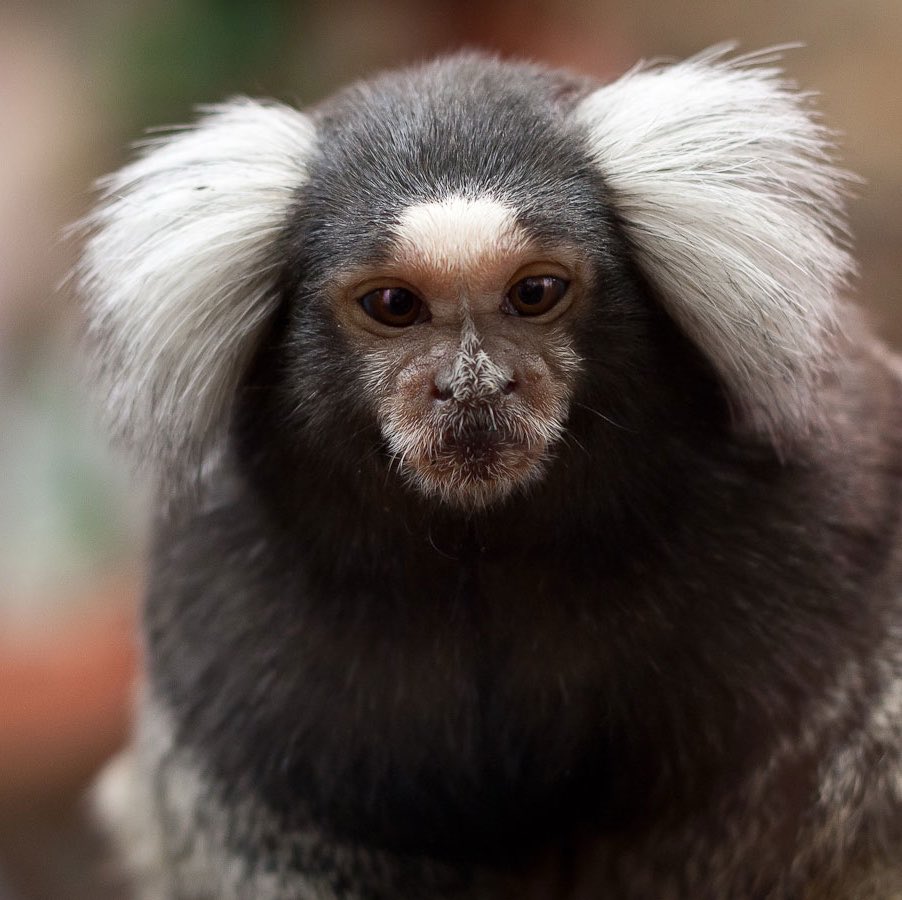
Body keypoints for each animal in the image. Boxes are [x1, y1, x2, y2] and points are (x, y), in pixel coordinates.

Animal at [77, 47, 902, 899]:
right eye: (394, 304)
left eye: (534, 292)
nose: (473, 385)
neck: (483, 551)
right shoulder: (224, 650)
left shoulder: (830, 550)